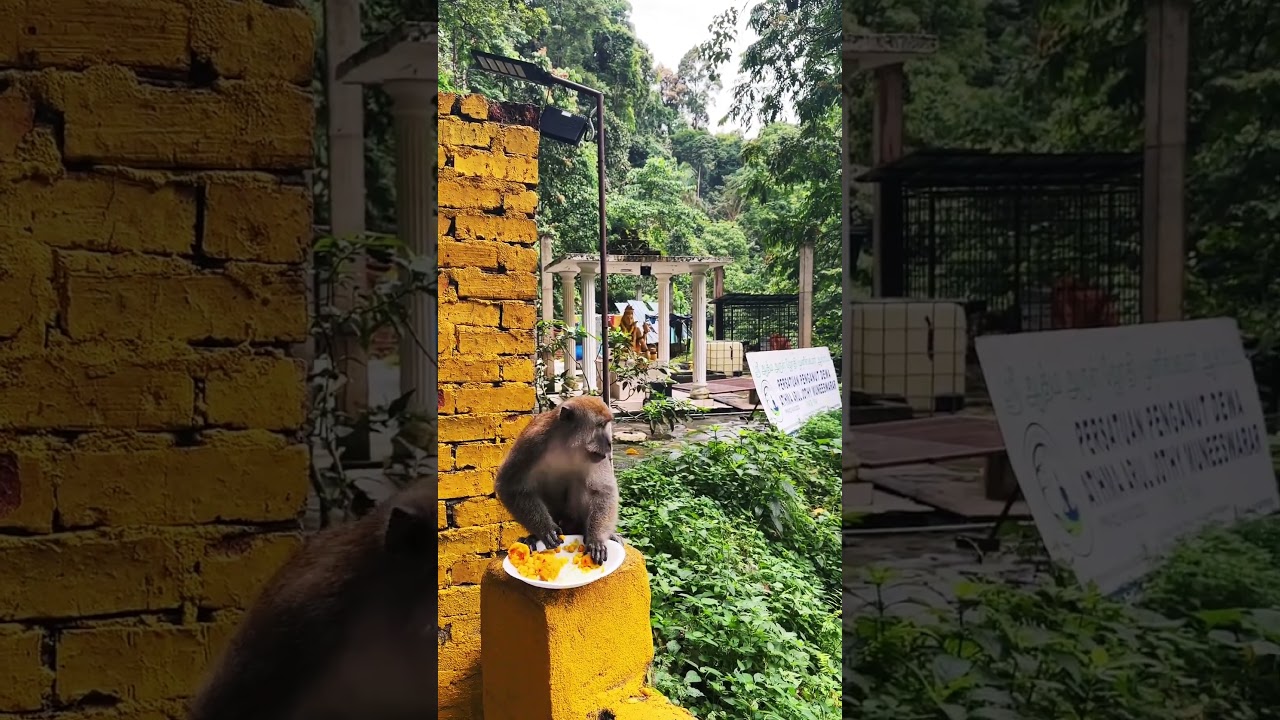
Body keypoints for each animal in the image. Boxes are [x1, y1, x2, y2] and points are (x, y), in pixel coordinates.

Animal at [495, 394, 620, 565]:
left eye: (606, 424)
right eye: (600, 425)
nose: (609, 443)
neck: (567, 445)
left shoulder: (597, 456)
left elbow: (602, 490)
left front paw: (596, 540)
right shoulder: (532, 442)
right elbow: (509, 486)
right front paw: (545, 529)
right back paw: (532, 538)